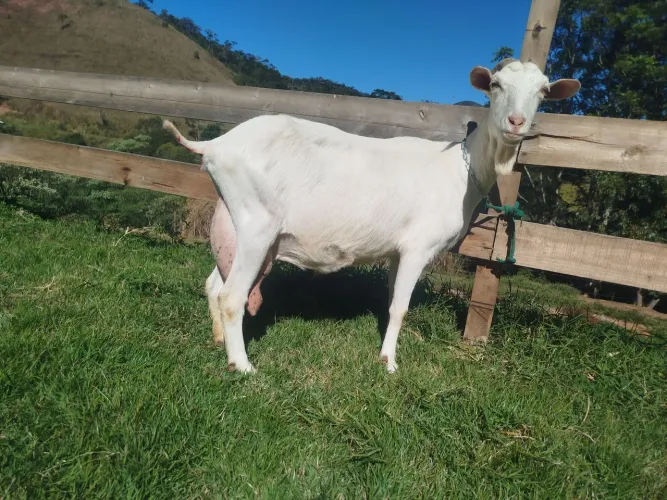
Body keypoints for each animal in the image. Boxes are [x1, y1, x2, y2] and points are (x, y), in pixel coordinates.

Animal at [165, 59, 580, 374]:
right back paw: (243, 366)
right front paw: (389, 363)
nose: (516, 122)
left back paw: (219, 340)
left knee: (214, 285)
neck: (461, 170)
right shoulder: (417, 247)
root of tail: (216, 145)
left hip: (238, 228)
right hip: (257, 224)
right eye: (495, 84)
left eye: (543, 91)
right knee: (231, 295)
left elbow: (391, 302)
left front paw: (384, 349)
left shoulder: (397, 252)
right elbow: (401, 307)